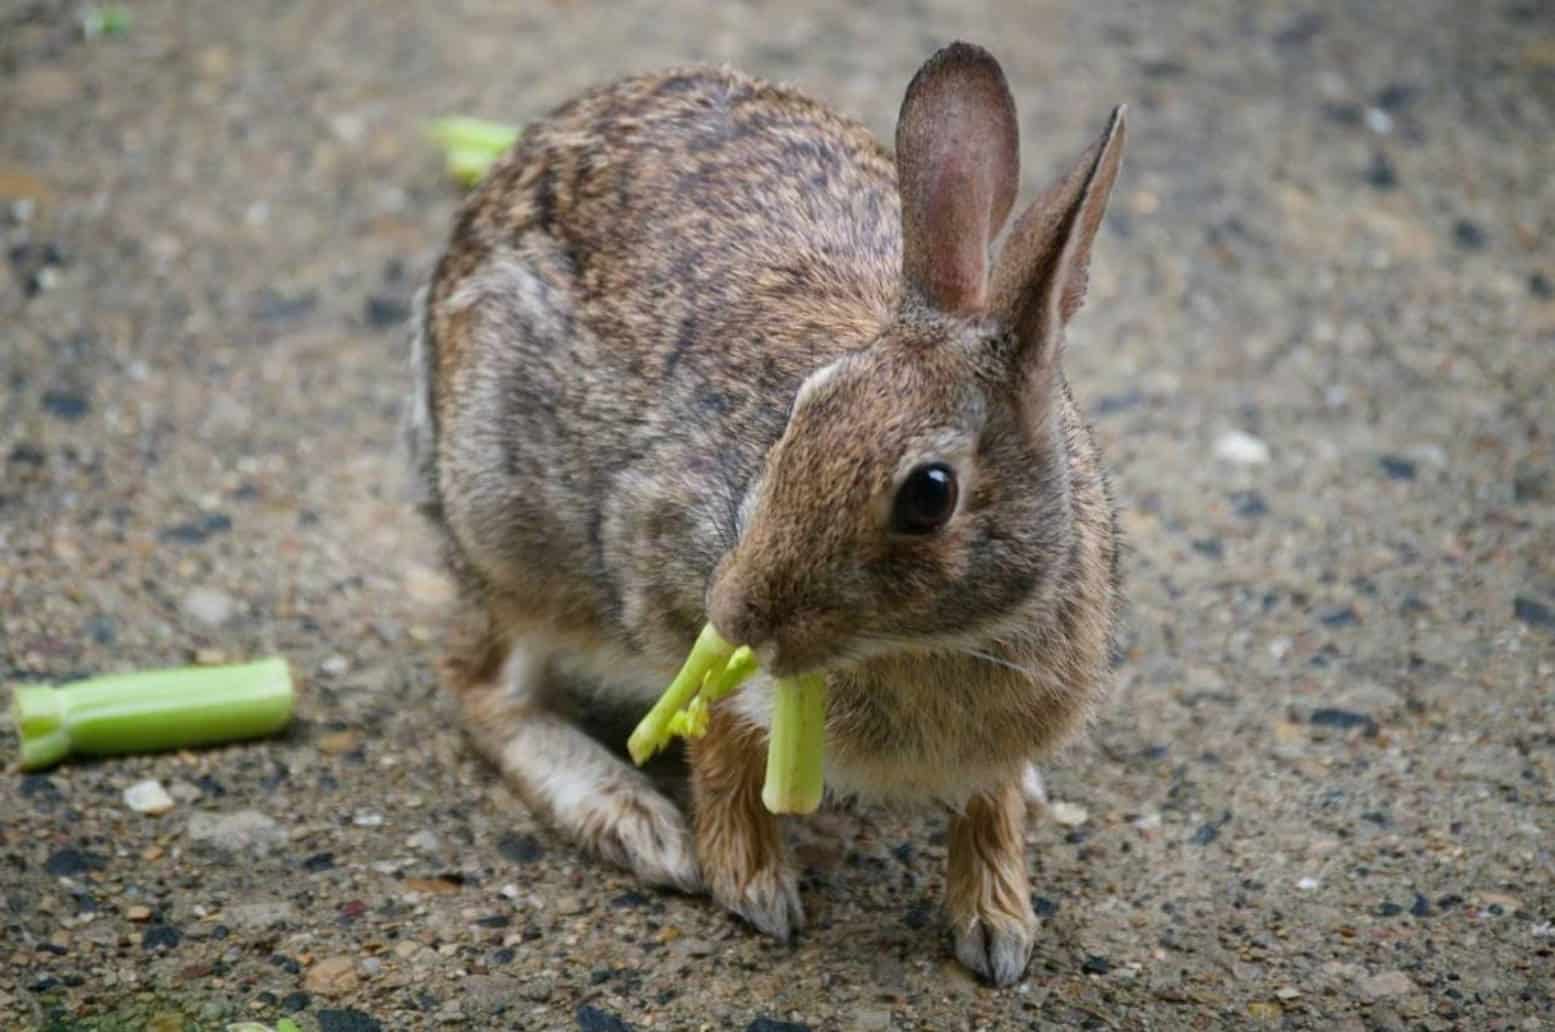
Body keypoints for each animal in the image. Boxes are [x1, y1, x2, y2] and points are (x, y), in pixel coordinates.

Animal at [407, 42, 1125, 994]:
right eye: (803, 411)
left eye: (928, 494)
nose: (738, 612)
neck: (938, 641)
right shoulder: (667, 587)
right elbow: (713, 734)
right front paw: (750, 885)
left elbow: (991, 804)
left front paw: (999, 925)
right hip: (510, 537)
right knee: (479, 683)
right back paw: (630, 819)